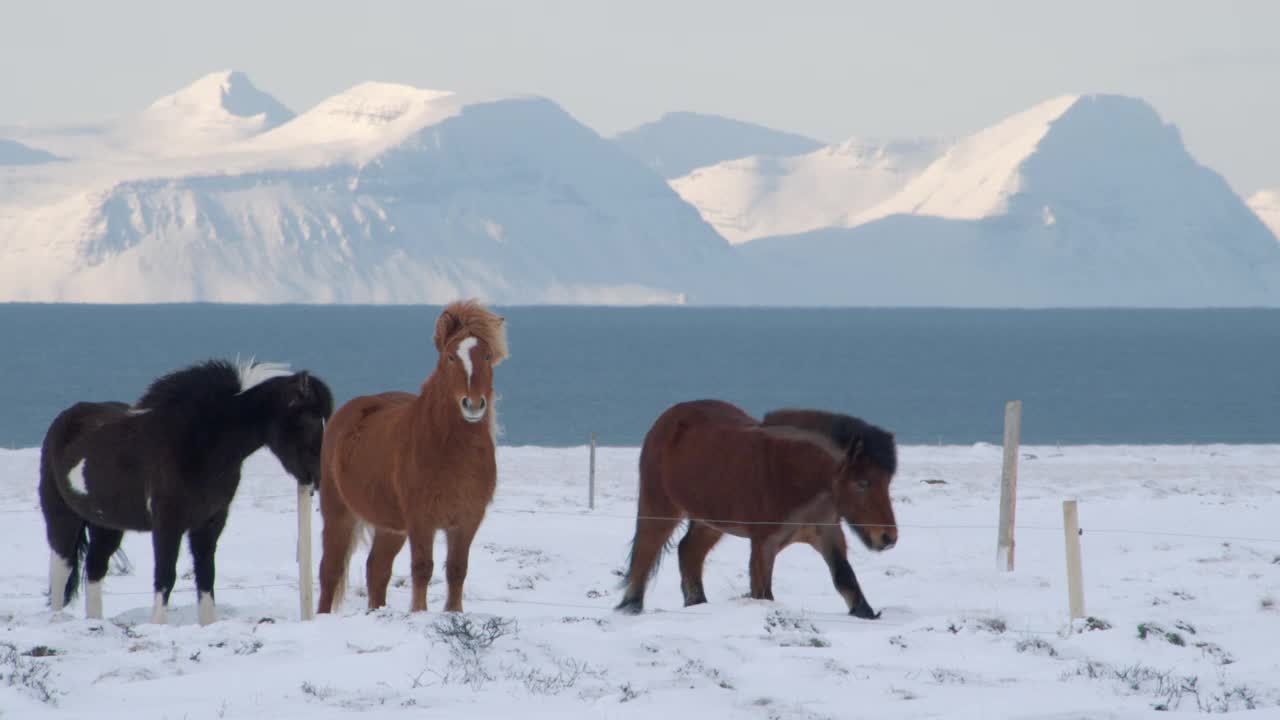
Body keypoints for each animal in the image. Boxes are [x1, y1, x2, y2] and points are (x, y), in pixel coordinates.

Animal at [41, 358, 335, 622]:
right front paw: (157, 626)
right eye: (309, 420)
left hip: (107, 525)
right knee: (61, 570)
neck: (198, 442)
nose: (320, 477)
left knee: (94, 569)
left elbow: (206, 576)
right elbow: (165, 576)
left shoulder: (209, 523)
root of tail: (67, 417)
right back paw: (56, 621)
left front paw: (208, 624)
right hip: (62, 517)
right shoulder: (167, 524)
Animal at [314, 297, 509, 609]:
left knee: (377, 569)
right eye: (450, 357)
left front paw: (453, 613)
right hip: (338, 513)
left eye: (488, 356)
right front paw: (419, 612)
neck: (451, 452)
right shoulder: (421, 520)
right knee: (329, 571)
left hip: (390, 527)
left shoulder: (467, 521)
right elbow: (422, 569)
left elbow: (457, 570)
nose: (473, 404)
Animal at [611, 397, 896, 617]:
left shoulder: (828, 535)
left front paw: (865, 613)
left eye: (887, 482)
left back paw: (698, 605)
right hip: (660, 508)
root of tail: (667, 420)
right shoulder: (763, 544)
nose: (888, 537)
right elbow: (763, 592)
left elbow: (846, 580)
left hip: (709, 521)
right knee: (645, 554)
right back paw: (632, 607)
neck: (794, 473)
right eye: (862, 483)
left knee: (688, 551)